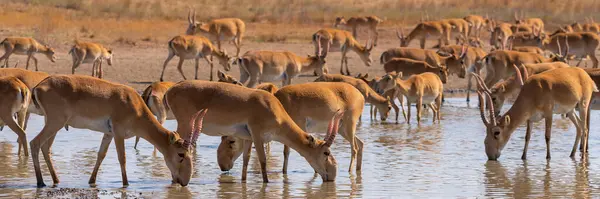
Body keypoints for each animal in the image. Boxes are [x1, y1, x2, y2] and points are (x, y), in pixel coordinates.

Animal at [29, 74, 198, 187]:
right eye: (181, 154)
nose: (185, 181)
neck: (135, 106)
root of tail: (39, 86)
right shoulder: (118, 134)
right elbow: (122, 158)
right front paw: (126, 184)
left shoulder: (108, 134)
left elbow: (101, 155)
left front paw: (92, 181)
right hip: (55, 123)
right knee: (35, 143)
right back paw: (40, 182)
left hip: (53, 124)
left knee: (45, 148)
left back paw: (56, 180)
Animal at [164, 80, 342, 182]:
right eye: (326, 152)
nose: (333, 175)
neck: (272, 107)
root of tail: (172, 89)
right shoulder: (257, 135)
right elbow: (263, 160)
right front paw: (266, 183)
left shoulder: (248, 138)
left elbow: (246, 159)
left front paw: (243, 182)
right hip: (185, 124)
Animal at [216, 81, 366, 173]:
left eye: (231, 141)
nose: (222, 166)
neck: (281, 101)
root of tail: (360, 95)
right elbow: (287, 151)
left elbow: (291, 150)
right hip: (342, 129)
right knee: (360, 143)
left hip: (349, 126)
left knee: (354, 148)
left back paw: (349, 171)